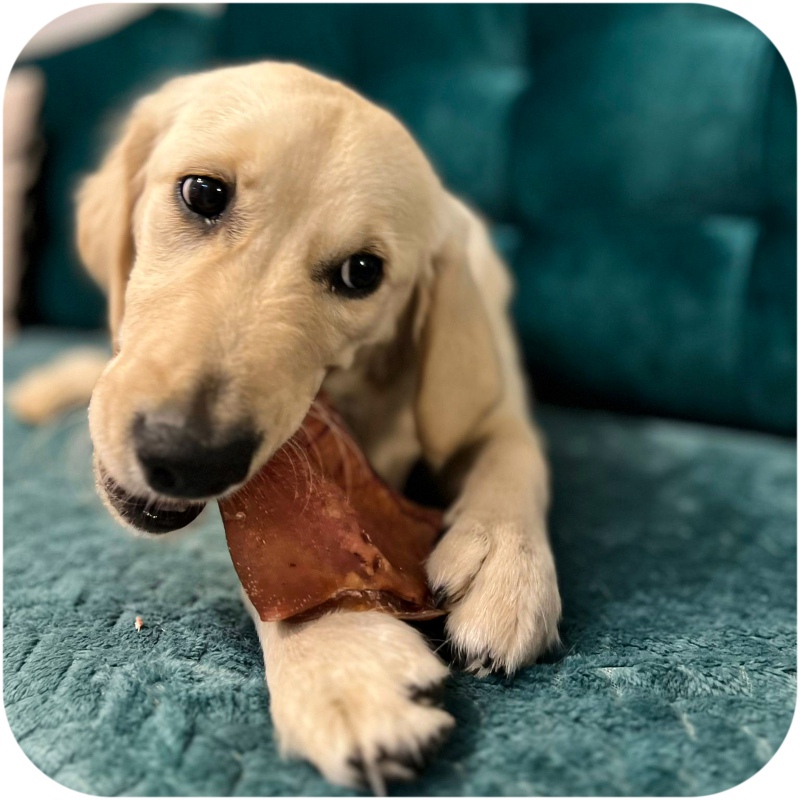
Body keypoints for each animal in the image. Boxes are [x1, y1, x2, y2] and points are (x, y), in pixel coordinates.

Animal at [15, 61, 564, 788]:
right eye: (202, 192)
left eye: (362, 273)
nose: (188, 456)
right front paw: (339, 659)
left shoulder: (490, 403)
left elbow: (512, 453)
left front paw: (505, 563)